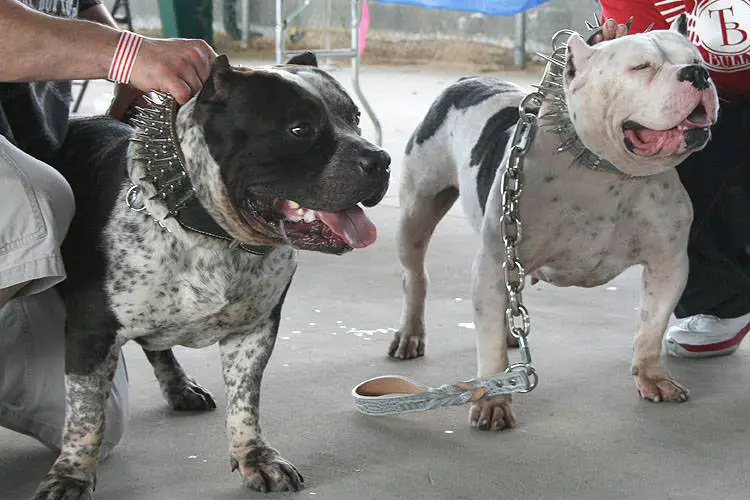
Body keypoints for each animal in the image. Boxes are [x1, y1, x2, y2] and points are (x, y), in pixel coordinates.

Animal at [32, 52, 390, 498]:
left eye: (355, 118)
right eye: (299, 129)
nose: (380, 160)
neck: (212, 234)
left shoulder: (253, 331)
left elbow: (245, 400)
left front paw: (255, 457)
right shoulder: (91, 335)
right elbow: (86, 416)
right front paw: (71, 474)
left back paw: (179, 386)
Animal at [390, 14, 720, 430]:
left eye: (699, 61)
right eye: (641, 67)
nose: (696, 74)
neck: (606, 171)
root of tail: (467, 80)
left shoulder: (669, 264)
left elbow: (651, 325)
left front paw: (651, 377)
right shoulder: (493, 263)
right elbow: (490, 352)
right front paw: (493, 401)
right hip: (416, 213)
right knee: (414, 276)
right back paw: (410, 334)